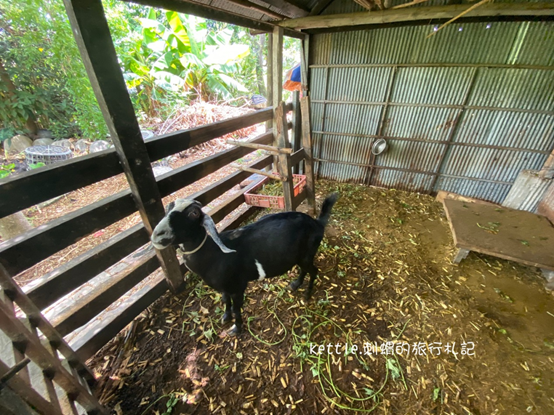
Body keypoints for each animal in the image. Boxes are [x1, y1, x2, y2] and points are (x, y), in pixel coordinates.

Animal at [152, 194, 340, 334]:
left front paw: (236, 329)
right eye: (167, 208)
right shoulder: (225, 287)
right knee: (304, 270)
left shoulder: (237, 286)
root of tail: (317, 223)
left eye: (194, 213)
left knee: (314, 271)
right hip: (300, 257)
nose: (157, 235)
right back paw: (295, 285)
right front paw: (225, 318)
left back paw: (307, 295)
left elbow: (236, 308)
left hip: (307, 254)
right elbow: (225, 301)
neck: (214, 254)